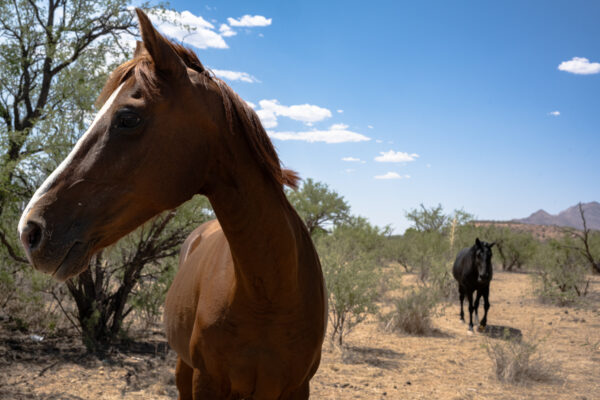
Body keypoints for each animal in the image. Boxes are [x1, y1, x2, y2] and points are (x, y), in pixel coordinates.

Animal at [18, 9, 326, 400]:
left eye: (127, 117)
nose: (30, 230)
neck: (269, 293)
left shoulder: (298, 387)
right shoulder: (205, 380)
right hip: (183, 367)